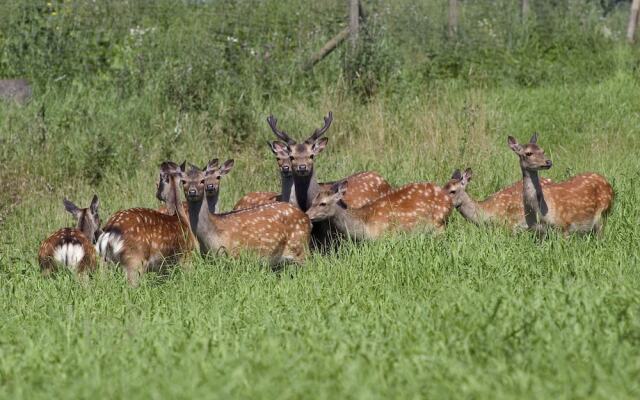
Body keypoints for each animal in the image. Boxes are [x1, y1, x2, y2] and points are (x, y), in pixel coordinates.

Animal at [181, 158, 312, 264]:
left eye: (202, 180)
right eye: (183, 181)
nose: (192, 192)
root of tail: (307, 218)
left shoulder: (235, 255)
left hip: (301, 248)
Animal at [306, 180, 452, 241]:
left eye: (323, 203)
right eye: (312, 201)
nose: (307, 215)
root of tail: (448, 198)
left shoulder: (386, 235)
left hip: (439, 223)